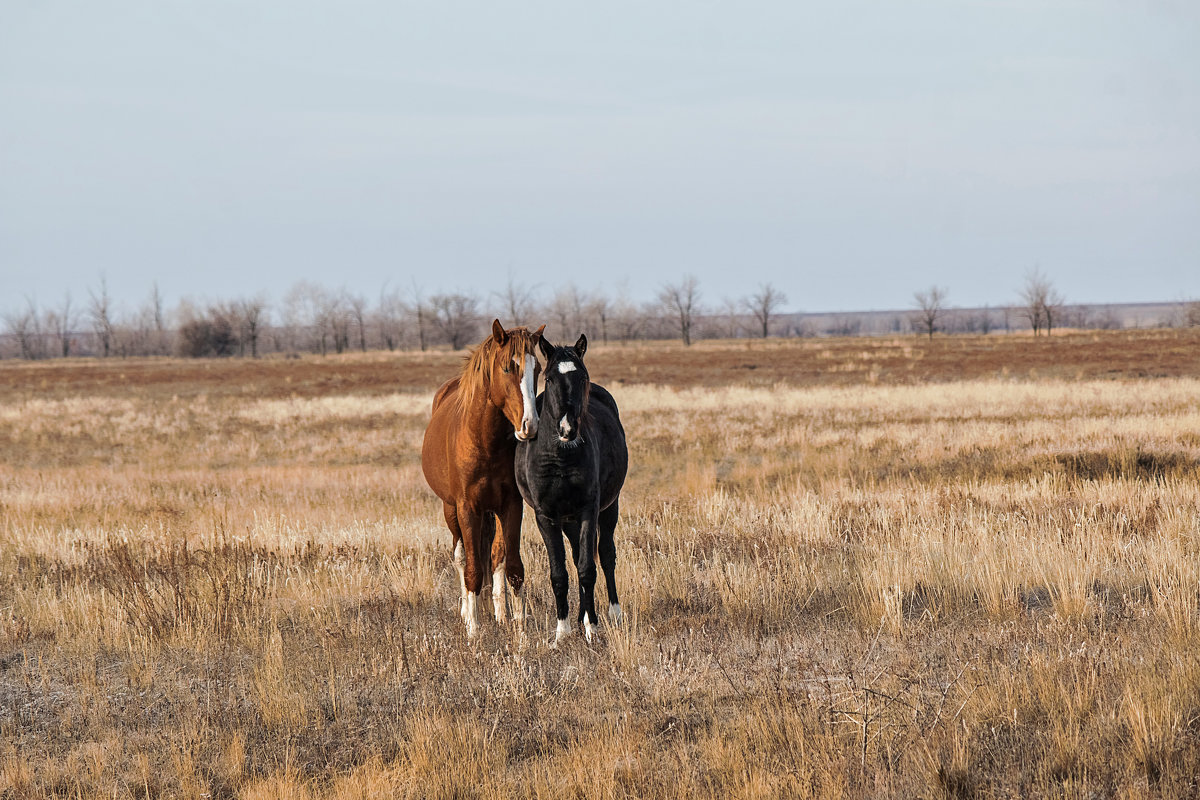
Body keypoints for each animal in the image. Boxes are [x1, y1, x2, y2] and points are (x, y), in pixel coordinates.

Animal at [422, 319, 544, 638]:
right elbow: (473, 570)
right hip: (451, 510)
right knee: (462, 557)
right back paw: (468, 613)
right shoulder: (467, 508)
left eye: (538, 369)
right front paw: (474, 633)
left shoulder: (511, 505)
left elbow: (512, 567)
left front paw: (520, 632)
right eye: (507, 367)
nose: (530, 425)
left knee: (495, 555)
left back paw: (500, 615)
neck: (485, 441)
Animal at [513, 333, 628, 642]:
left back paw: (611, 613)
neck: (560, 458)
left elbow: (588, 568)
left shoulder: (589, 509)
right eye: (550, 378)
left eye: (582, 377)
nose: (567, 429)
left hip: (609, 508)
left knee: (606, 555)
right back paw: (579, 617)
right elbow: (560, 573)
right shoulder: (546, 516)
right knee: (576, 556)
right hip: (568, 520)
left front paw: (592, 628)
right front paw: (562, 632)